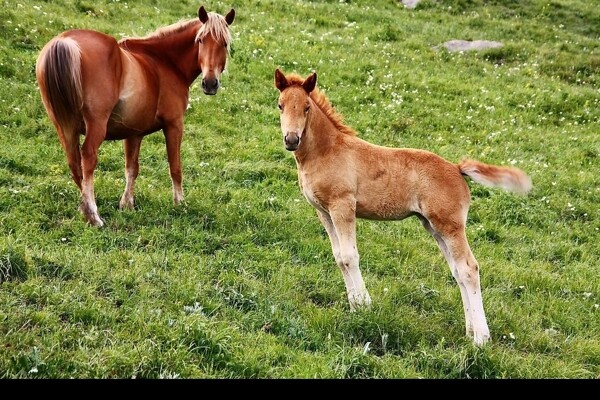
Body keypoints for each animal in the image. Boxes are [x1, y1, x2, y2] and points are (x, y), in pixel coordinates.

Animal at [34, 5, 237, 225]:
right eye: (200, 40)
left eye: (224, 43)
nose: (210, 83)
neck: (163, 62)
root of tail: (64, 41)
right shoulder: (174, 125)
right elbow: (175, 167)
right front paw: (180, 203)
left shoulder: (133, 133)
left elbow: (132, 168)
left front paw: (127, 204)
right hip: (96, 125)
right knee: (88, 157)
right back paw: (93, 215)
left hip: (64, 125)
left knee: (74, 162)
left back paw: (84, 208)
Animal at [274, 68, 532, 344]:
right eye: (280, 105)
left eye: (306, 107)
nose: (291, 139)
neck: (327, 151)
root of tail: (457, 169)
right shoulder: (323, 211)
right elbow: (339, 257)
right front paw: (355, 308)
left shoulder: (342, 205)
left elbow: (350, 256)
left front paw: (364, 306)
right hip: (433, 226)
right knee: (456, 270)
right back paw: (469, 331)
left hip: (450, 225)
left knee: (468, 268)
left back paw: (481, 339)